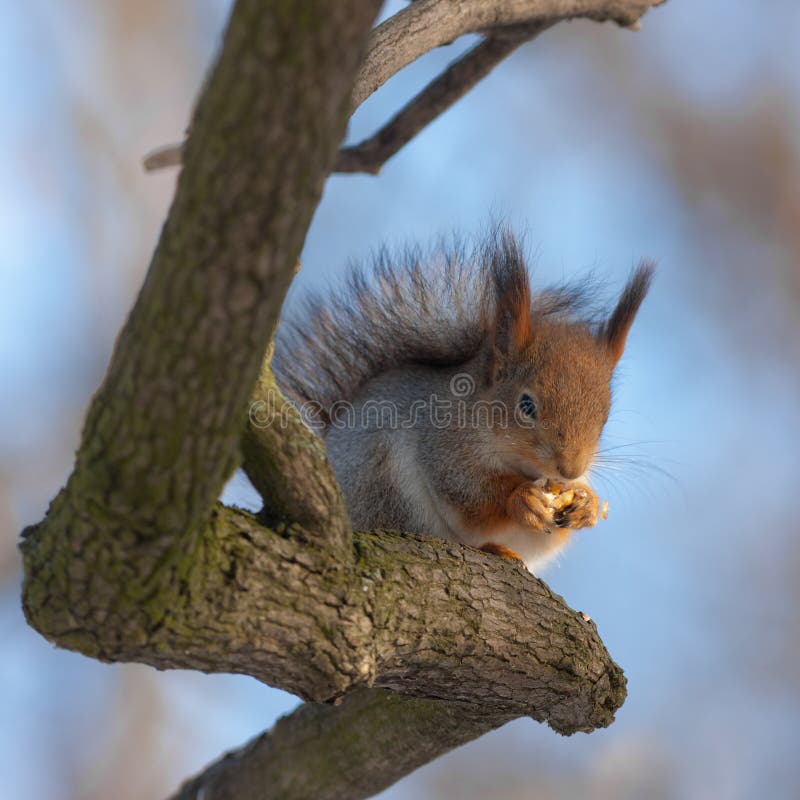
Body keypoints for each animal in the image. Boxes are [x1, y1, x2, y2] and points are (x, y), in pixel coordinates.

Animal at [273, 230, 652, 572]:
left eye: (605, 416)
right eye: (526, 405)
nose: (571, 469)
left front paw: (587, 504)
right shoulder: (444, 445)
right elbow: (469, 494)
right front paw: (522, 498)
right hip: (385, 486)